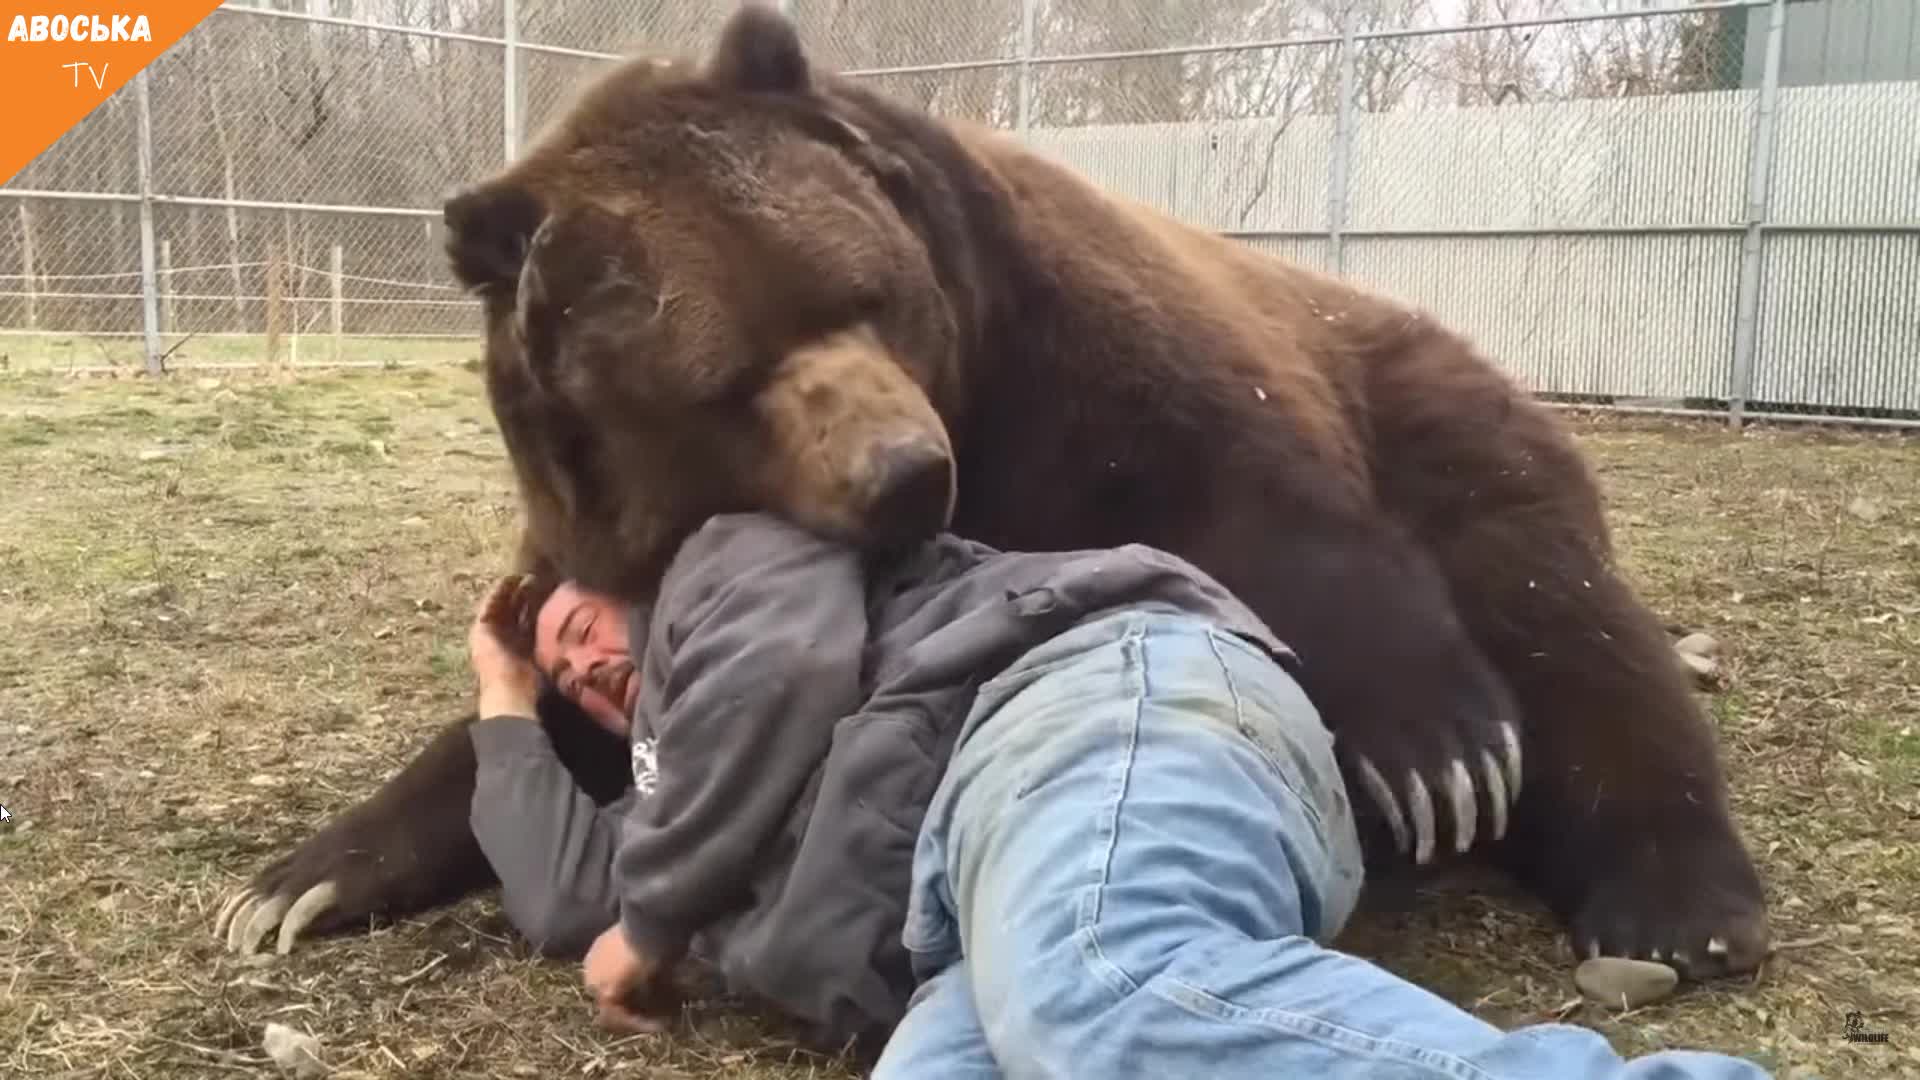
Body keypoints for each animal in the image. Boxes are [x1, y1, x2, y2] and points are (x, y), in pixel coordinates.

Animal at [214, 2, 1766, 983]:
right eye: (730, 375)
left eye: (868, 293)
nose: (907, 469)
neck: (985, 428)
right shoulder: (612, 540)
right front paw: (290, 884)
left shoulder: (1072, 355)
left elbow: (1254, 498)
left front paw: (1436, 748)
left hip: (1453, 426)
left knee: (1567, 631)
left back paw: (1675, 904)